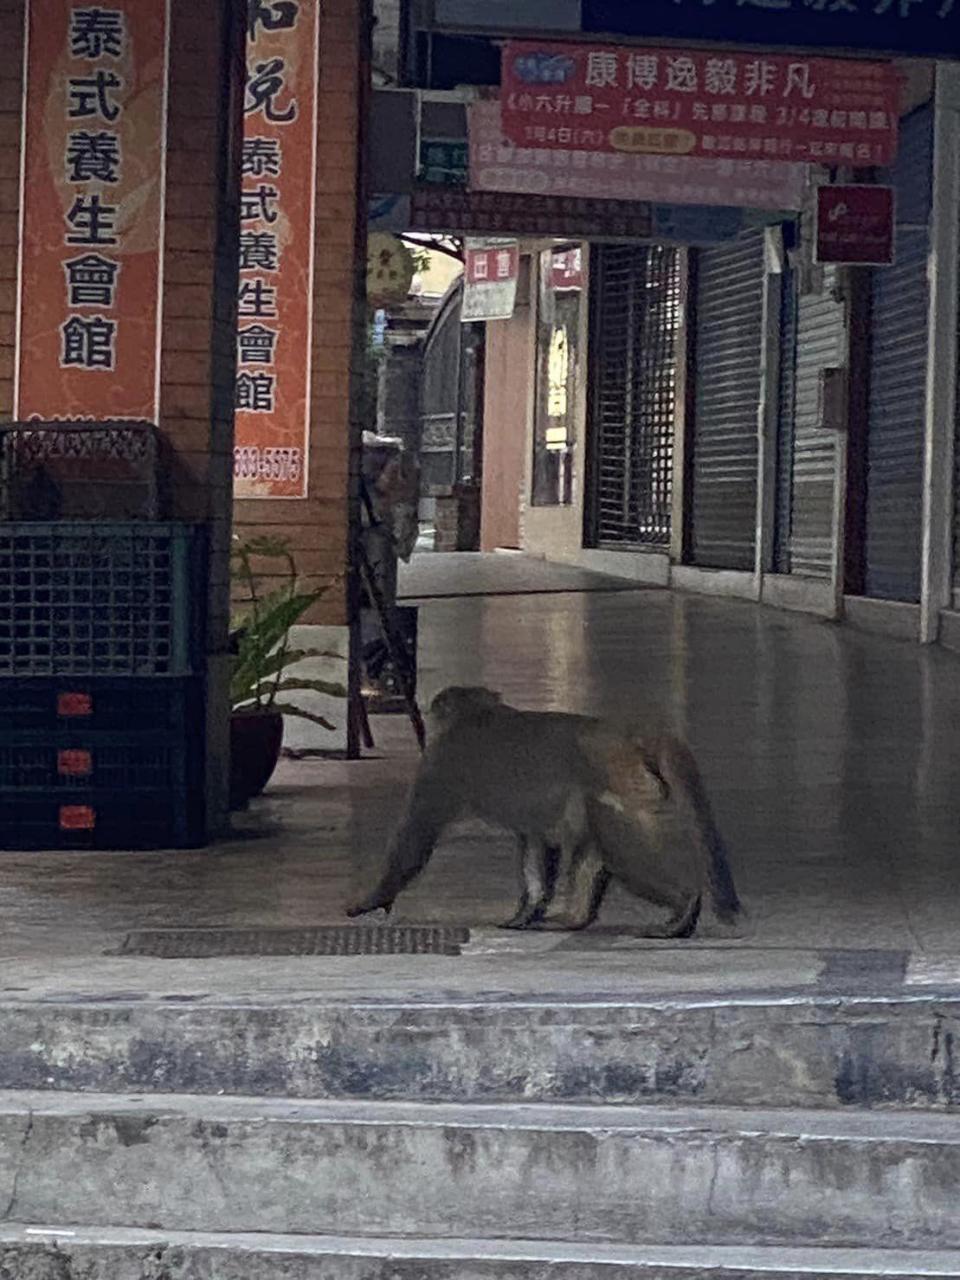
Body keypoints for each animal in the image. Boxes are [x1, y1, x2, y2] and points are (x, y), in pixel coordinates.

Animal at [348, 686, 742, 936]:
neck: (479, 714)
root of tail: (625, 734)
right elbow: (537, 844)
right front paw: (526, 913)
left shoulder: (442, 761)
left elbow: (415, 835)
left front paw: (373, 899)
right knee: (597, 844)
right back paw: (577, 919)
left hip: (622, 784)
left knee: (621, 846)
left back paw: (685, 903)